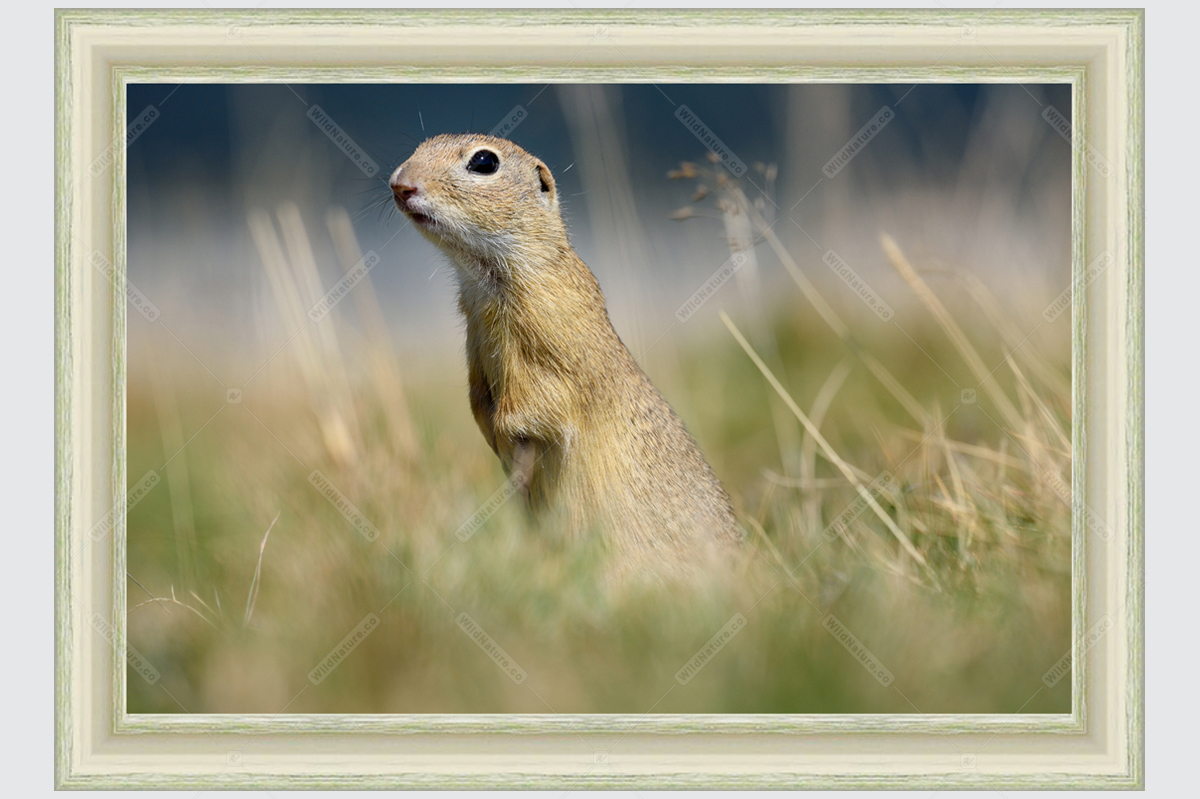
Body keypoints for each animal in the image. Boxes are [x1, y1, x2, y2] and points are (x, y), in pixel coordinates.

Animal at [390, 134, 741, 576]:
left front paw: (514, 457)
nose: (399, 184)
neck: (485, 276)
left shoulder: (551, 351)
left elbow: (538, 405)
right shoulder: (476, 345)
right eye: (422, 144)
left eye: (484, 162)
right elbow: (478, 400)